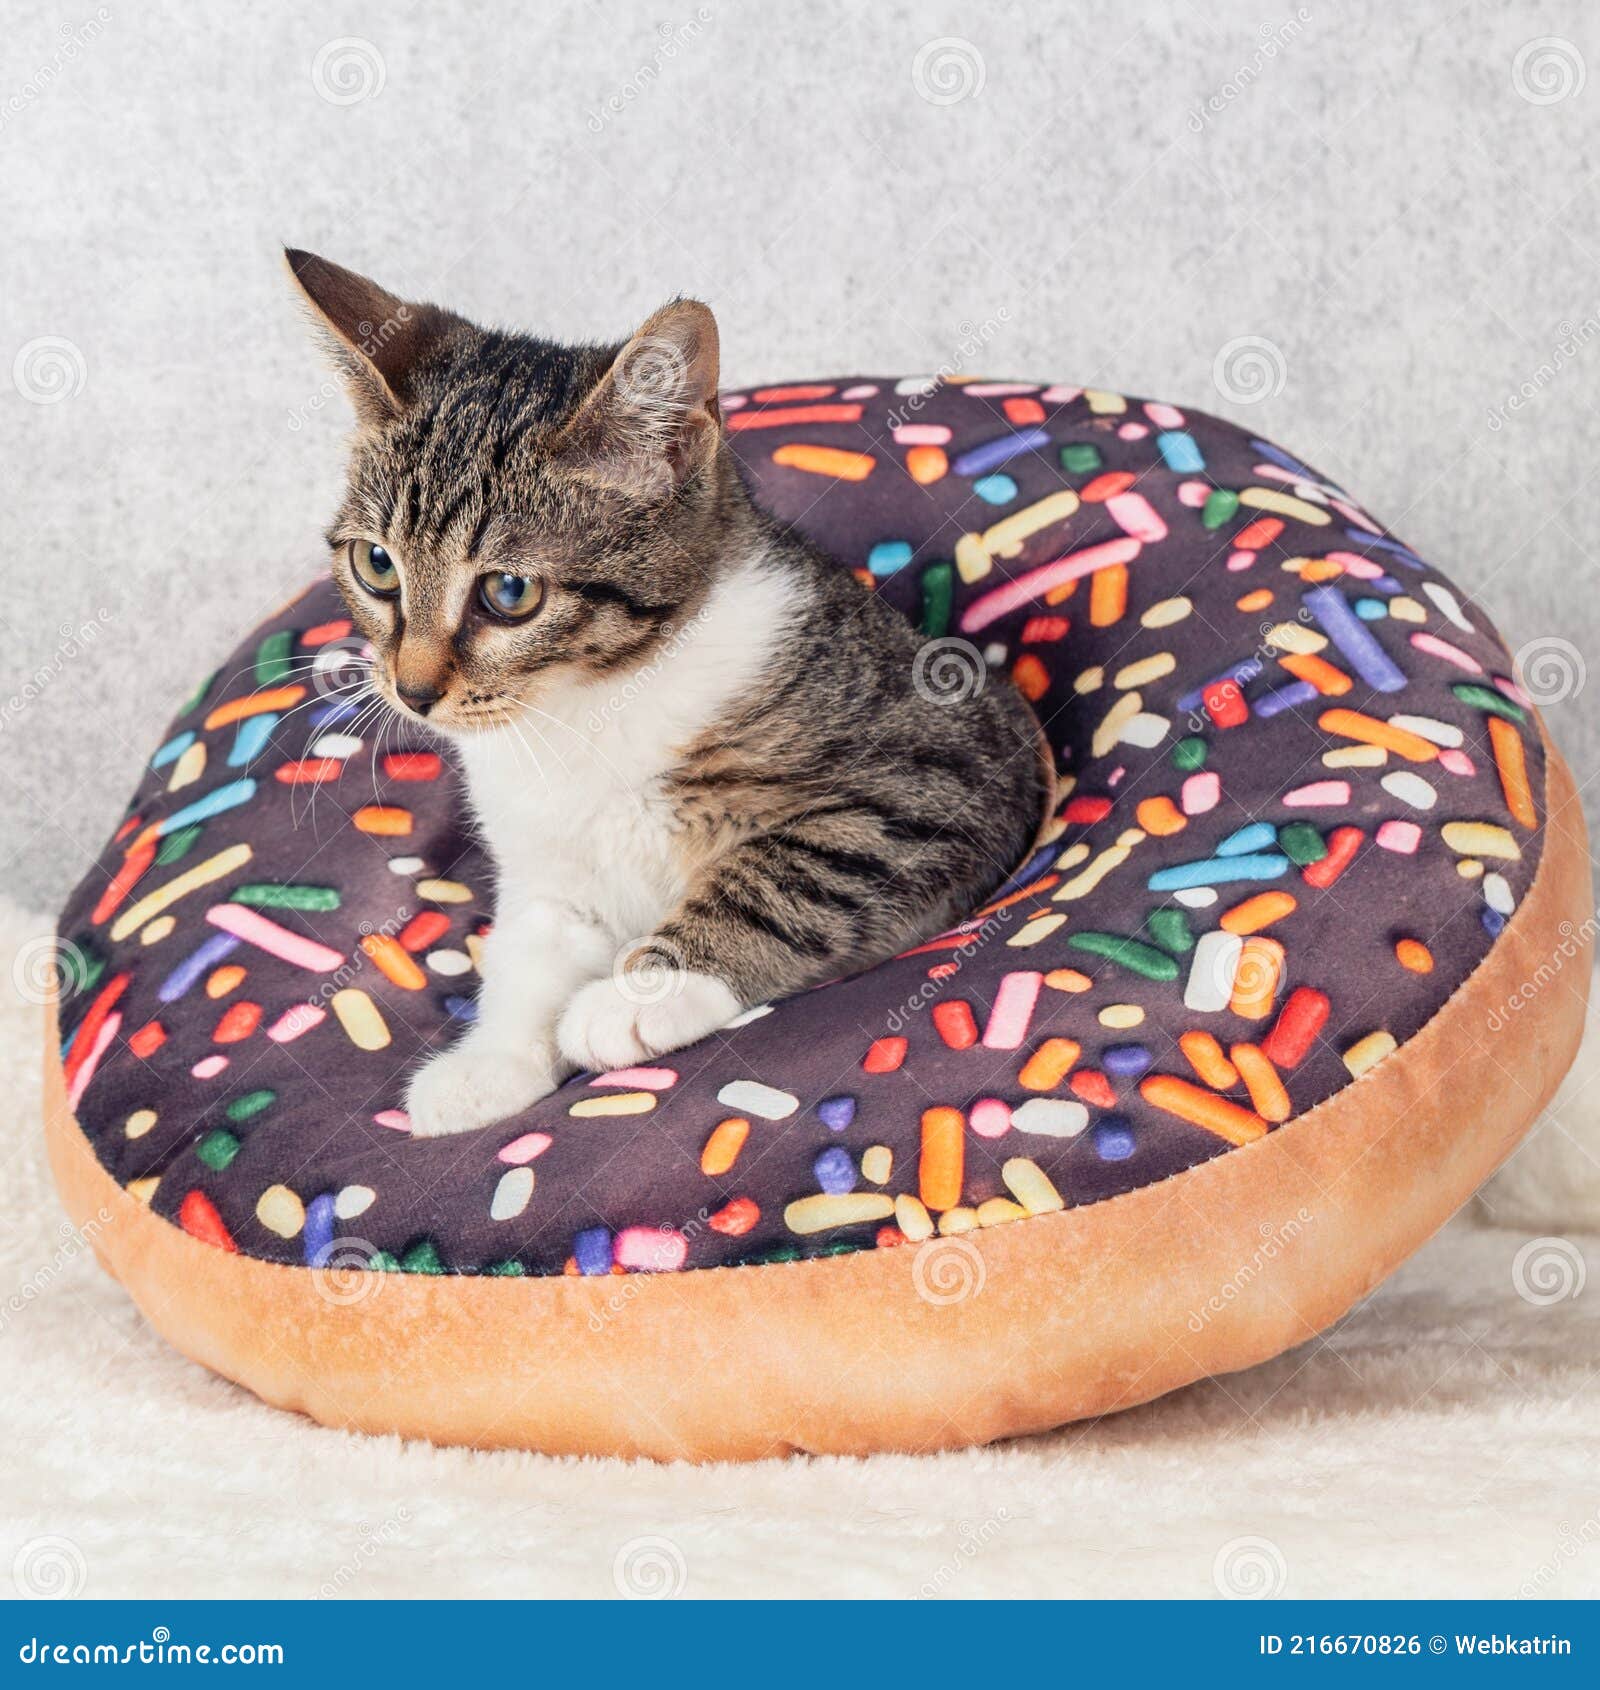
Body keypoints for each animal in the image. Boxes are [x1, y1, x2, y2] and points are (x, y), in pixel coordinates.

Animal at [290, 246, 1054, 1135]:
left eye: (510, 592)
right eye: (376, 565)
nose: (412, 691)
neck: (586, 705)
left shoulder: (952, 763)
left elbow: (801, 867)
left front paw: (640, 992)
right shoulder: (546, 857)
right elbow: (534, 944)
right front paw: (490, 1065)